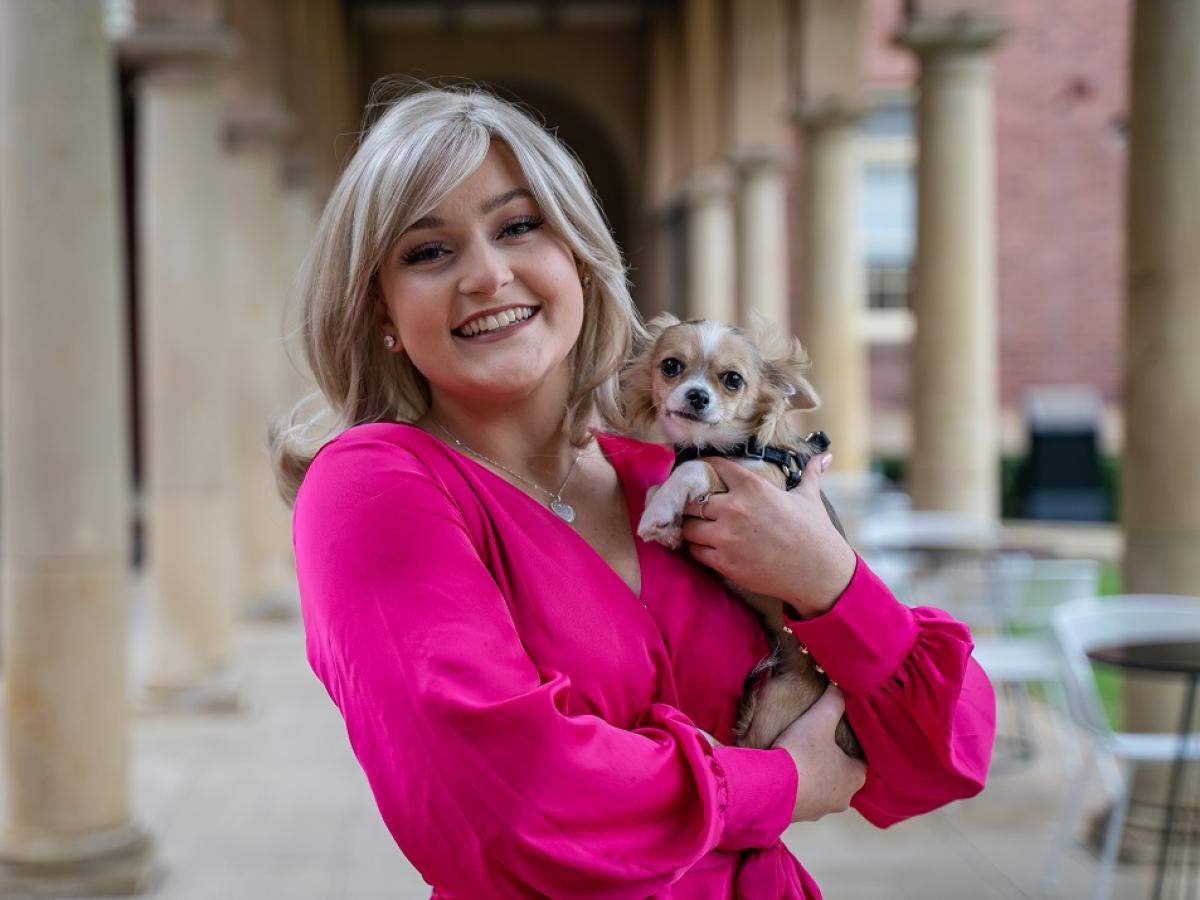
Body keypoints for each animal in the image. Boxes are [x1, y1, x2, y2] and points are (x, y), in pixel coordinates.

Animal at [624, 314, 859, 758]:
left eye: (732, 380)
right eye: (670, 366)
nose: (697, 396)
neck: (724, 447)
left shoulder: (761, 485)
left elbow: (693, 470)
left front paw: (661, 514)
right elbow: (659, 485)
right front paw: (667, 522)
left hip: (775, 708)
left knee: (759, 750)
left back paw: (702, 736)